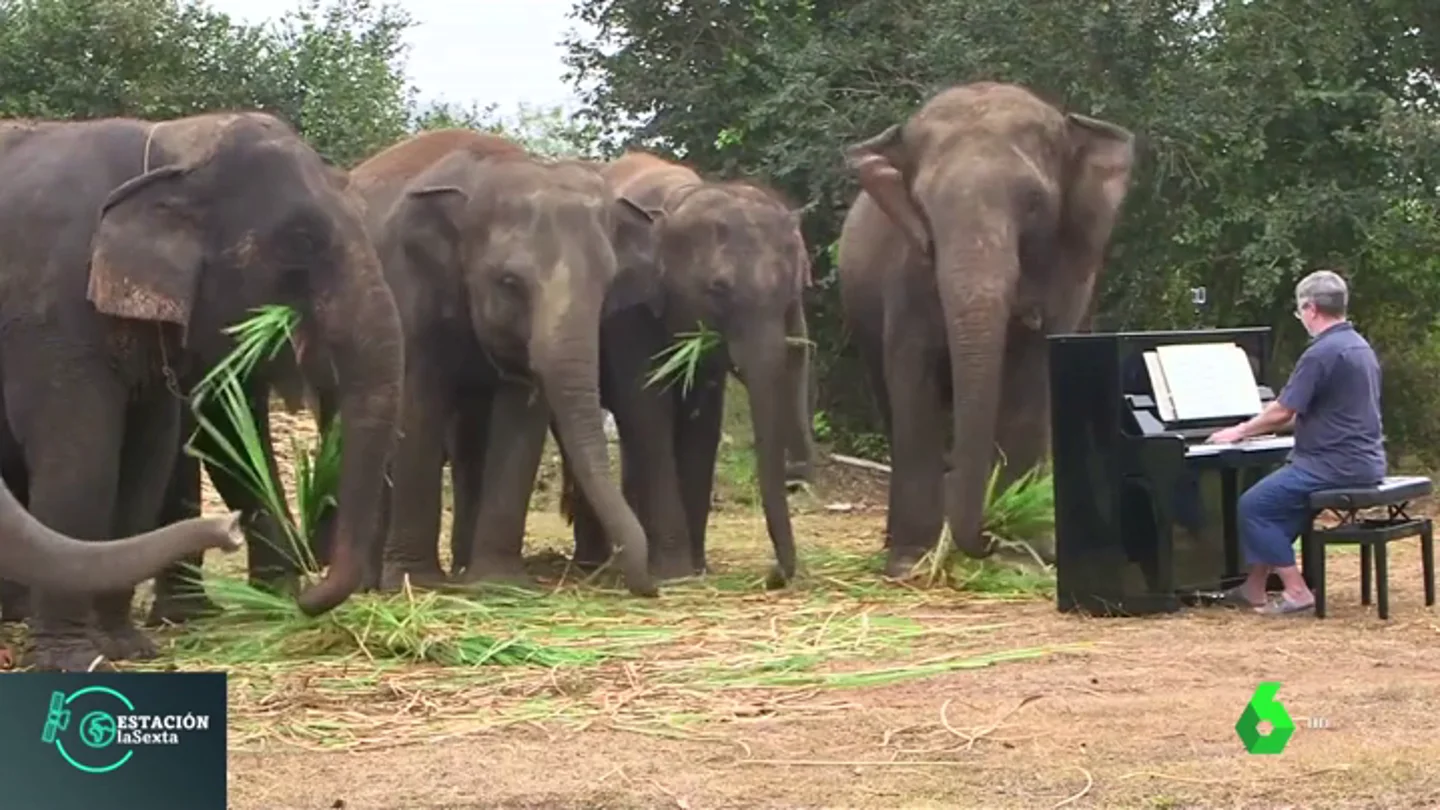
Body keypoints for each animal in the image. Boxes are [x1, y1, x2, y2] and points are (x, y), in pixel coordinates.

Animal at [0, 111, 404, 670]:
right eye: (301, 240)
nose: (306, 599)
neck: (174, 144)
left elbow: (145, 464)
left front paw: (126, 647)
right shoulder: (50, 314)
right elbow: (82, 464)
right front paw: (74, 661)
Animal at [347, 128, 659, 597]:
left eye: (608, 283)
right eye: (510, 283)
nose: (651, 586)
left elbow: (521, 415)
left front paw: (499, 584)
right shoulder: (409, 290)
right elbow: (418, 406)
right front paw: (416, 583)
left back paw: (460, 567)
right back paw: (371, 582)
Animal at [556, 151, 814, 587]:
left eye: (791, 290)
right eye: (718, 289)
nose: (773, 575)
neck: (680, 198)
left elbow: (701, 422)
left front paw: (697, 569)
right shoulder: (629, 314)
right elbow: (649, 411)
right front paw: (674, 575)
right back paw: (593, 563)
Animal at [836, 81, 1136, 576]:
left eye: (1033, 202)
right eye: (922, 205)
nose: (989, 539)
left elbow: (1030, 385)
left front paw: (1022, 558)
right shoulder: (908, 272)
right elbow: (913, 377)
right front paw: (910, 563)